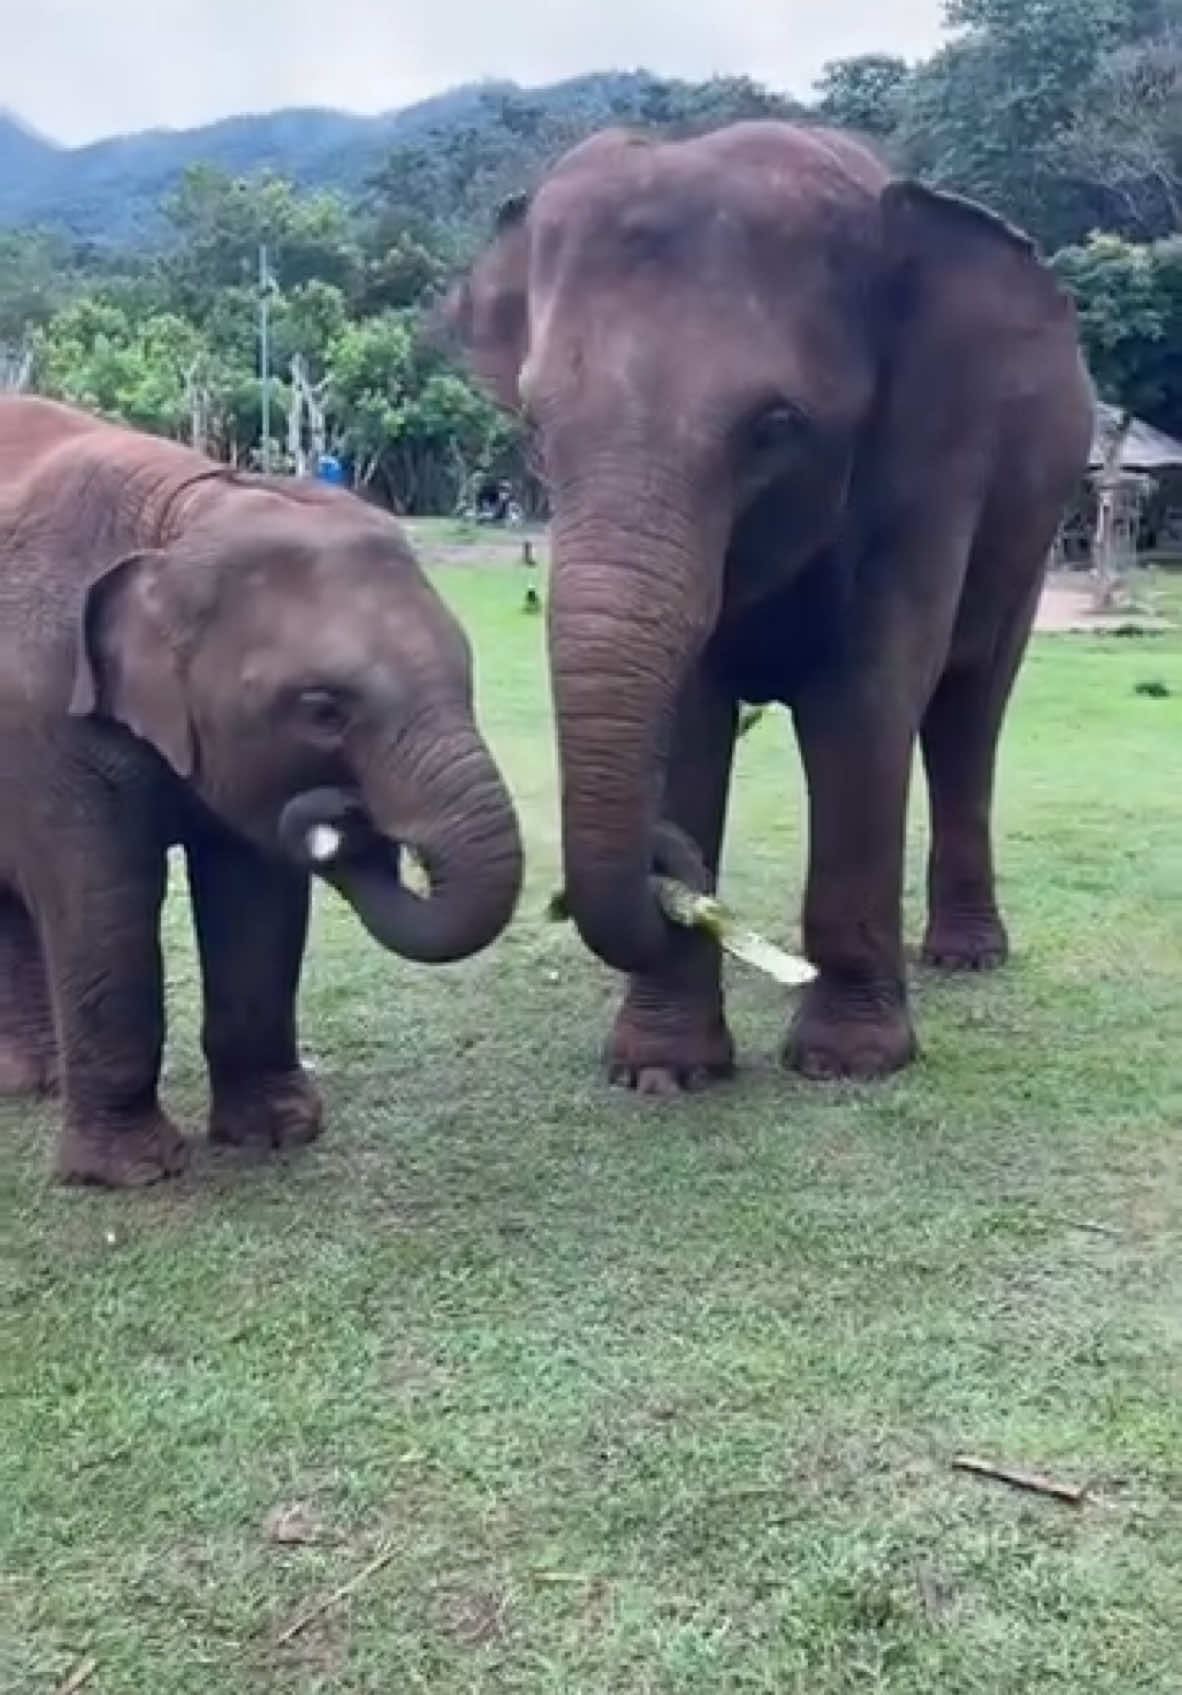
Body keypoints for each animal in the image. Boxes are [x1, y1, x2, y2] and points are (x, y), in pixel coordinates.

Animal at [0, 398, 522, 1193]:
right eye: (324, 709)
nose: (345, 824)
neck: (181, 514)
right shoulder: (45, 713)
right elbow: (104, 897)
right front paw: (133, 1173)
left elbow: (255, 893)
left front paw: (278, 1134)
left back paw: (36, 1082)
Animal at [447, 122, 1092, 1098]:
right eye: (533, 430)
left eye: (774, 426)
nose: (663, 865)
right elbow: (689, 714)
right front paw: (662, 1071)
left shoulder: (929, 467)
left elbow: (863, 704)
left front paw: (848, 1062)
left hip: (1032, 525)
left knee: (968, 710)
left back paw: (965, 957)